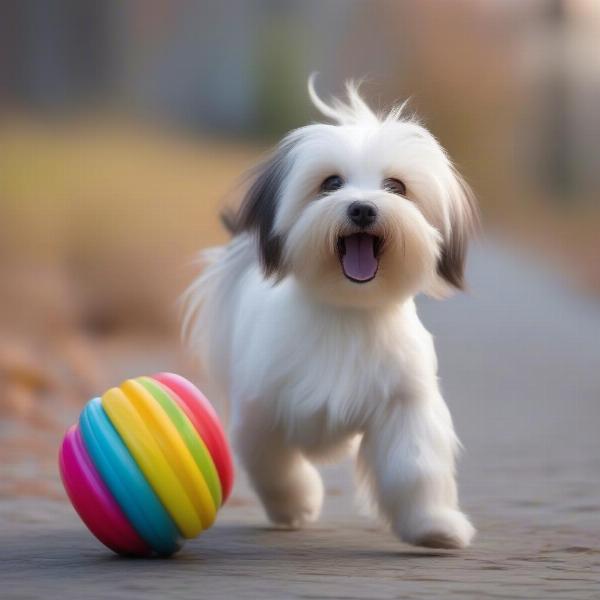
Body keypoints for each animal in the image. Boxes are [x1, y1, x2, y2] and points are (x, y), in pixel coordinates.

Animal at [183, 78, 478, 548]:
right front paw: (296, 506)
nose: (362, 208)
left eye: (396, 186)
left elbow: (415, 467)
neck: (347, 310)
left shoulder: (405, 402)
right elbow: (275, 465)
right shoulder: (261, 412)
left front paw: (433, 526)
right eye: (331, 183)